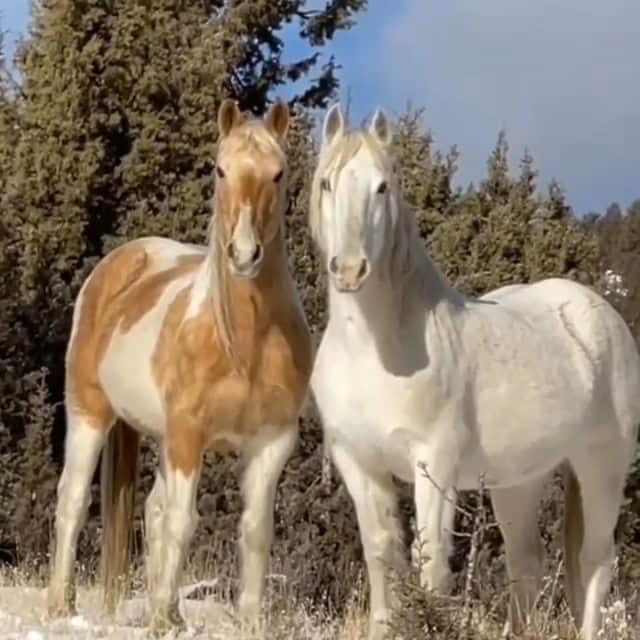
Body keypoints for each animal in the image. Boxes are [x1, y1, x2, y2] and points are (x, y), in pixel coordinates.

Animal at [47, 99, 313, 634]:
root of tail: (120, 262)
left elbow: (255, 531)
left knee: (151, 510)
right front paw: (161, 625)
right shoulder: (189, 434)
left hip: (159, 436)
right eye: (220, 169)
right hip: (90, 415)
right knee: (73, 500)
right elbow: (183, 522)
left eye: (278, 174)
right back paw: (62, 605)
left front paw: (247, 623)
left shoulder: (271, 443)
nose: (244, 254)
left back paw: (165, 609)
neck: (244, 344)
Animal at [309, 103, 640, 640]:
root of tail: (601, 313)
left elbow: (430, 564)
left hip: (601, 466)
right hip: (519, 482)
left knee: (595, 562)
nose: (350, 270)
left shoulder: (434, 465)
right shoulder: (359, 463)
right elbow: (382, 560)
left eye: (383, 187)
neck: (376, 350)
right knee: (527, 564)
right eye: (326, 183)